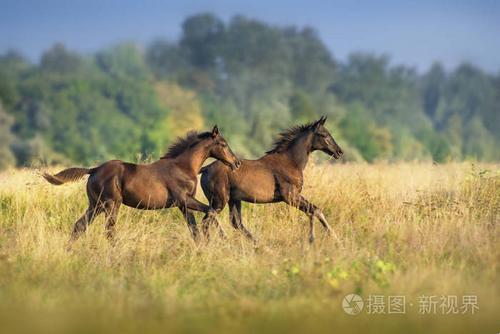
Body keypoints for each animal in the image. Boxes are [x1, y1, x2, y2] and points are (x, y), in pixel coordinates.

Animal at [43, 125, 240, 243]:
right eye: (223, 144)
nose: (236, 163)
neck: (183, 166)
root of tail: (94, 169)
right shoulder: (183, 200)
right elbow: (210, 210)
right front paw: (222, 237)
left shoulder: (184, 205)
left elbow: (194, 228)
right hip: (111, 204)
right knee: (109, 230)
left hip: (96, 205)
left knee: (79, 226)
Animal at [201, 117, 342, 243]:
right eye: (324, 135)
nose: (339, 151)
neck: (290, 162)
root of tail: (205, 168)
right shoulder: (290, 196)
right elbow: (315, 210)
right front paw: (323, 238)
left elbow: (313, 211)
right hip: (219, 201)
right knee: (207, 221)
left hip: (233, 200)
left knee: (235, 222)